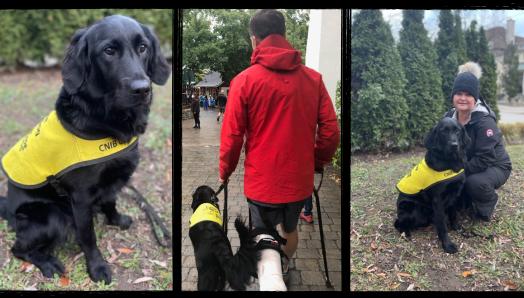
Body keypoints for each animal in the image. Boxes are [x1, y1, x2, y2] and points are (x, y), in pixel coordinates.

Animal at [0, 15, 170, 284]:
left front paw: (116, 219)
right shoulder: (80, 198)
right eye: (109, 51)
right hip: (53, 216)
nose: (142, 89)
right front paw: (97, 267)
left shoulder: (113, 179)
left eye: (143, 47)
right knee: (18, 249)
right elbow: (88, 238)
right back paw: (48, 264)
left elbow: (111, 201)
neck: (107, 120)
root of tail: (7, 206)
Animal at [392, 117, 470, 253]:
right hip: (413, 209)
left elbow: (454, 215)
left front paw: (458, 229)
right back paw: (406, 233)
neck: (450, 162)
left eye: (458, 131)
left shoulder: (455, 195)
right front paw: (447, 245)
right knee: (398, 223)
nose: (454, 145)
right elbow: (442, 226)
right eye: (443, 132)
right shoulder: (438, 200)